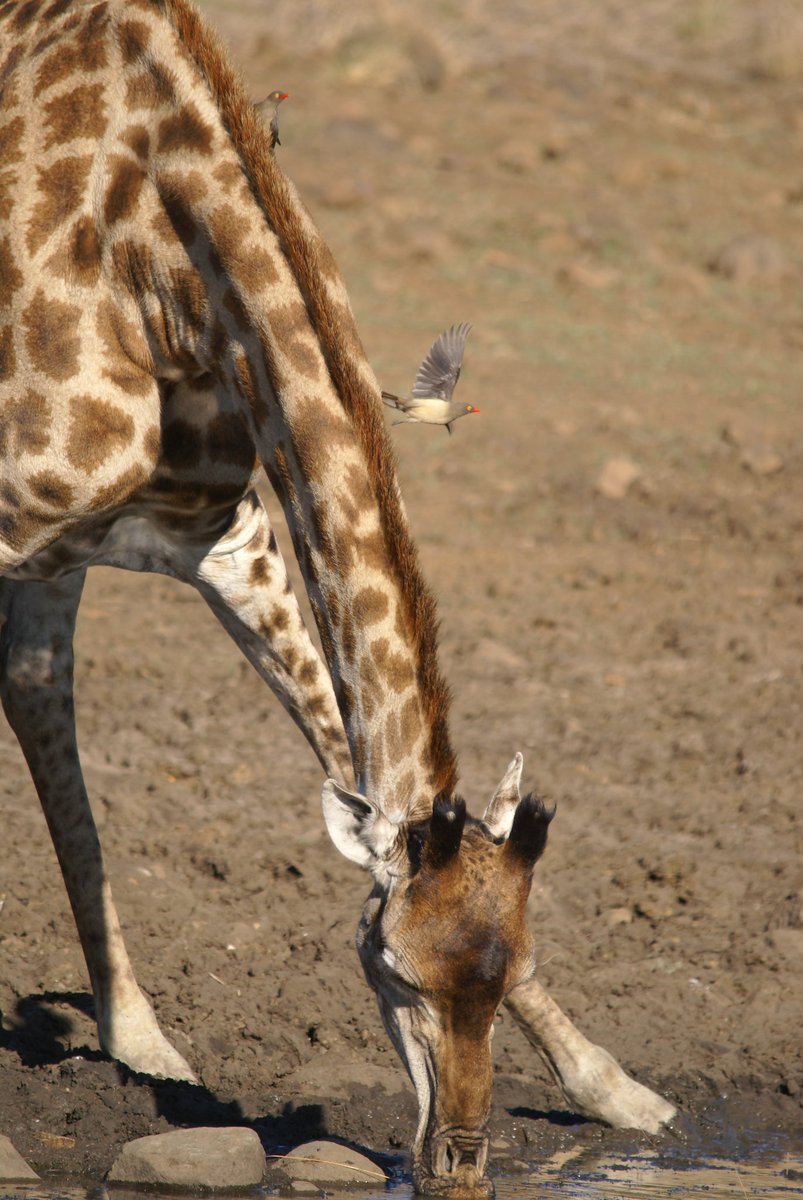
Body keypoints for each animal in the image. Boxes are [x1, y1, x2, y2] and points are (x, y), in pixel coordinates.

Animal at [0, 0, 675, 1192]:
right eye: (393, 971)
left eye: (510, 968)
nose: (455, 1168)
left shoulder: (214, 530)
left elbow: (351, 752)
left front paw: (615, 1087)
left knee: (37, 683)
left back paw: (142, 1035)